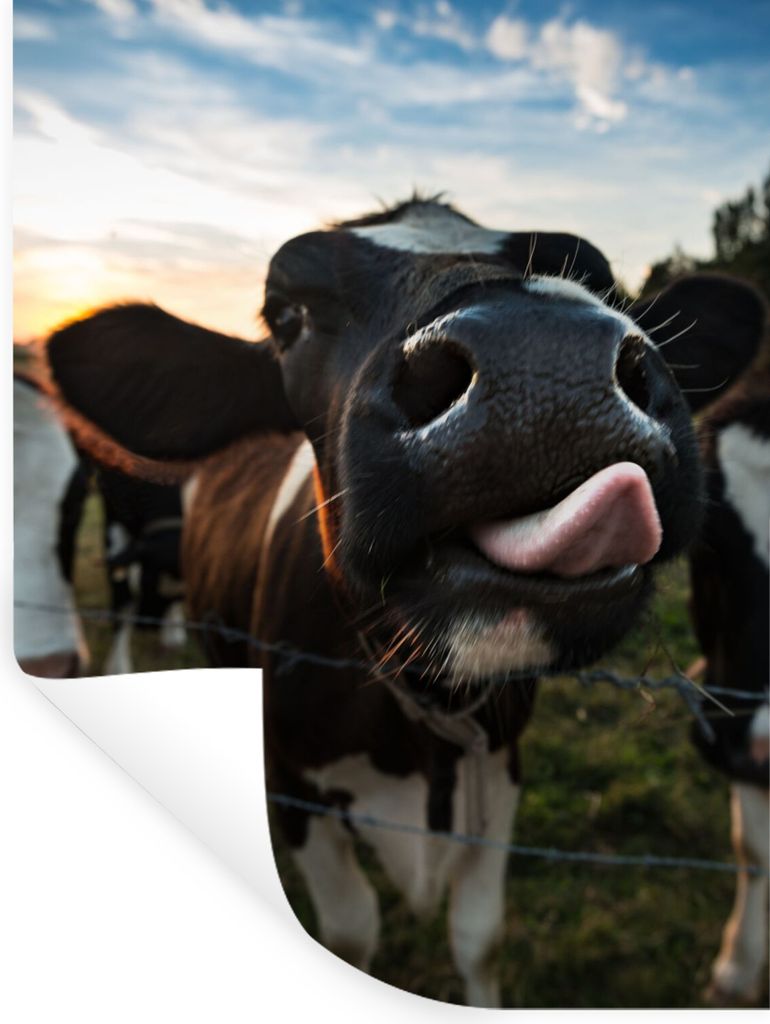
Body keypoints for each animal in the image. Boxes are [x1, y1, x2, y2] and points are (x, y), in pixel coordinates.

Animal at [42, 198, 766, 1006]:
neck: (420, 719)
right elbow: (351, 931)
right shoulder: (291, 787)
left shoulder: (501, 766)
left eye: (601, 279)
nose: (546, 361)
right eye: (286, 315)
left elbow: (478, 936)